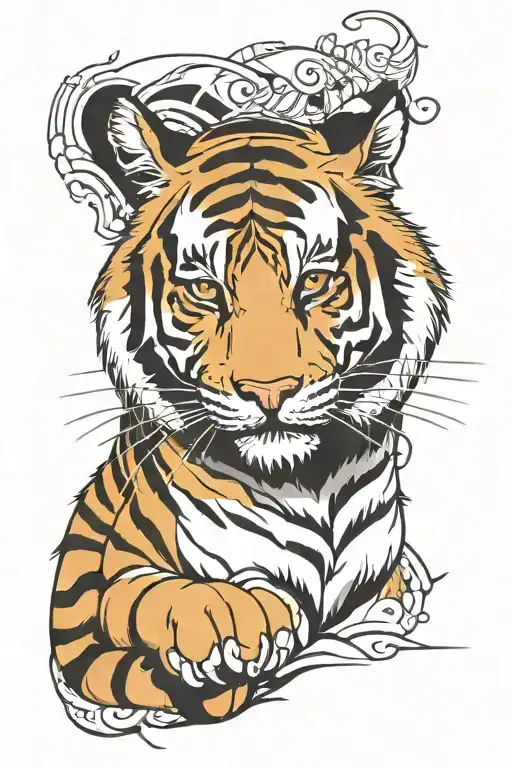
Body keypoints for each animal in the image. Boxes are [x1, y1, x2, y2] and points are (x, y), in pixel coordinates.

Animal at [50, 77, 449, 732]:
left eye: (313, 282)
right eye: (204, 289)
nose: (269, 392)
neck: (308, 484)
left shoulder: (383, 576)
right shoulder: (111, 573)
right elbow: (148, 591)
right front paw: (230, 621)